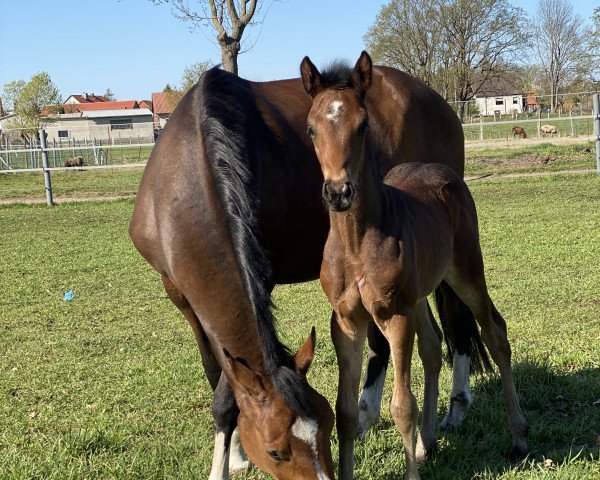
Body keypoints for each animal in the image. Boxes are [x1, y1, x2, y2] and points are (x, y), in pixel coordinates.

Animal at [302, 50, 528, 478]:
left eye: (363, 125)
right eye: (310, 128)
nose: (338, 192)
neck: (356, 243)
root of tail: (442, 172)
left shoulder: (395, 315)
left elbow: (401, 407)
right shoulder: (346, 322)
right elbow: (345, 412)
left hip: (465, 273)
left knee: (494, 332)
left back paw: (518, 438)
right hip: (421, 294)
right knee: (434, 345)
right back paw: (427, 444)